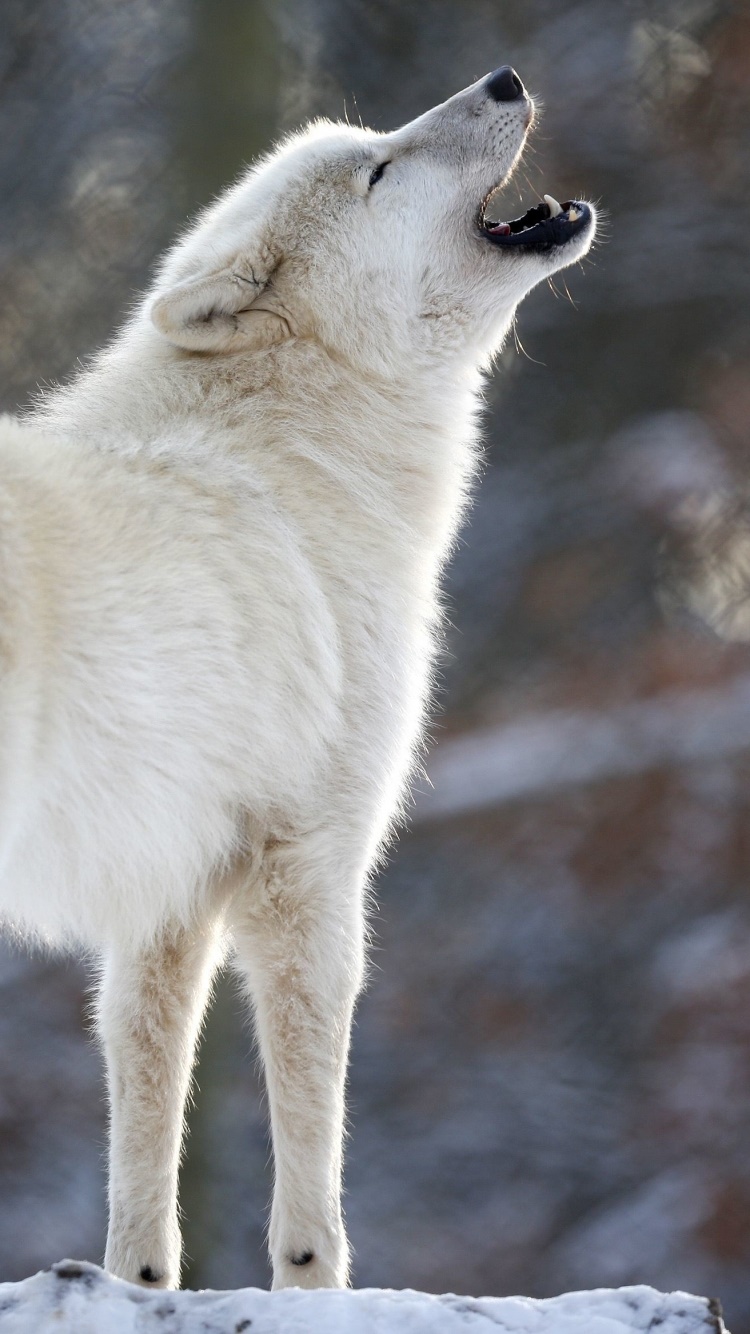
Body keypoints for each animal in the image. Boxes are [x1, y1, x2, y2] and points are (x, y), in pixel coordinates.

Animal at [0, 66, 595, 1290]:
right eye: (379, 170)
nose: (505, 77)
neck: (303, 450)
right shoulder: (309, 864)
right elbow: (313, 1139)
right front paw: (315, 1285)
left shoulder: (169, 893)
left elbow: (145, 1119)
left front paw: (137, 1288)